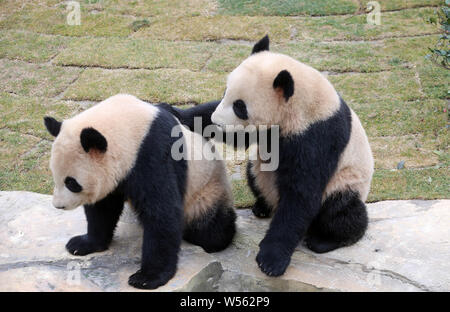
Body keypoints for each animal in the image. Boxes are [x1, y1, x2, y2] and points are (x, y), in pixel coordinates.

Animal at [43, 94, 236, 288]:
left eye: (72, 183)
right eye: (54, 175)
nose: (58, 206)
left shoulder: (152, 153)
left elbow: (161, 212)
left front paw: (148, 277)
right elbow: (102, 208)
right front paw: (83, 244)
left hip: (206, 191)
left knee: (209, 228)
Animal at [165, 35, 372, 276]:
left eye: (240, 106)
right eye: (225, 92)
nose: (218, 121)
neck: (302, 103)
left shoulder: (317, 135)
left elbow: (301, 194)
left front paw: (271, 260)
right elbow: (235, 135)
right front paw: (174, 112)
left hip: (346, 181)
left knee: (340, 209)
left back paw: (329, 239)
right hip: (260, 171)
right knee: (253, 173)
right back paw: (262, 207)